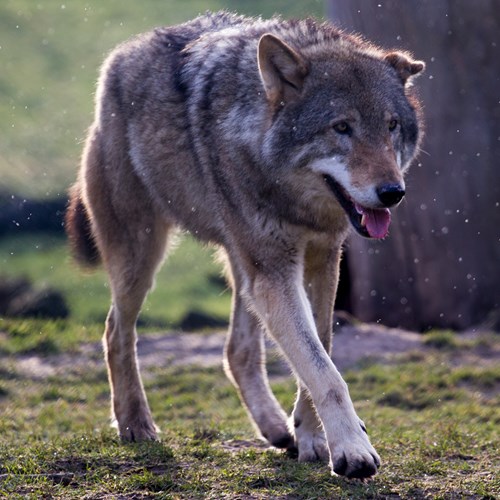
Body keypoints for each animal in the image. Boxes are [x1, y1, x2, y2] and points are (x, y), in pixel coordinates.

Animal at [64, 11, 424, 478]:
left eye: (391, 126)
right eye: (342, 128)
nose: (392, 193)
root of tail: (121, 55)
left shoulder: (322, 258)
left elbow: (320, 350)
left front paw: (312, 437)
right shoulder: (275, 272)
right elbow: (324, 371)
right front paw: (351, 449)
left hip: (242, 265)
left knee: (237, 350)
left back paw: (276, 430)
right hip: (144, 259)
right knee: (115, 331)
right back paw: (135, 424)